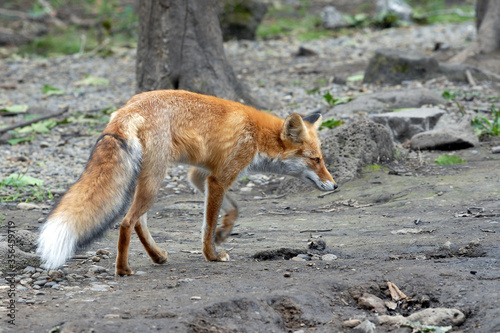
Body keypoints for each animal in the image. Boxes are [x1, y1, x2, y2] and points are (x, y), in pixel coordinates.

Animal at [37, 89, 338, 274]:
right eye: (316, 159)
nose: (334, 186)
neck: (256, 135)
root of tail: (128, 109)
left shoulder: (202, 175)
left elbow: (232, 208)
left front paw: (224, 232)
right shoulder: (219, 177)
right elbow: (207, 224)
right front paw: (212, 254)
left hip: (145, 180)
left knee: (138, 222)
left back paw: (157, 256)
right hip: (154, 181)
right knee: (126, 223)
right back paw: (123, 269)